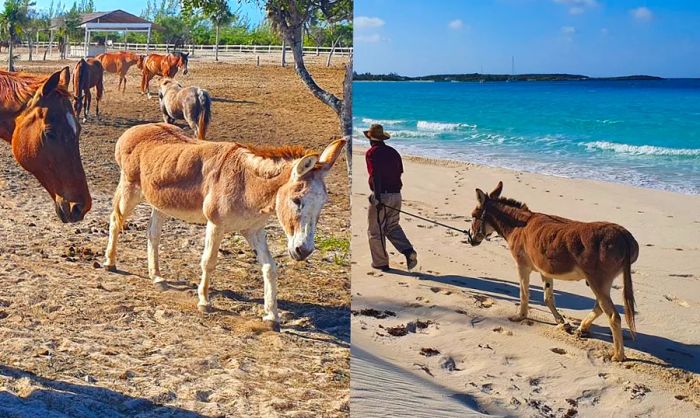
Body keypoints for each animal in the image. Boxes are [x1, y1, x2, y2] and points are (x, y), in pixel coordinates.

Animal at [104, 122, 344, 328]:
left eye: (323, 203)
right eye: (297, 200)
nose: (303, 251)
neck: (247, 183)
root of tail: (136, 128)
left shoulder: (253, 230)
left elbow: (269, 267)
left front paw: (271, 316)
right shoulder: (216, 225)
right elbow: (208, 261)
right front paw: (204, 302)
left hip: (160, 203)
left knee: (152, 234)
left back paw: (157, 278)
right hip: (130, 190)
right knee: (116, 220)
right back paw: (110, 263)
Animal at [470, 181, 640, 360]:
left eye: (473, 216)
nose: (470, 238)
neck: (519, 225)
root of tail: (622, 235)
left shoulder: (522, 266)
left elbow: (524, 294)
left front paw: (520, 316)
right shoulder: (545, 271)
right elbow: (548, 298)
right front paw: (561, 322)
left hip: (597, 280)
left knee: (612, 315)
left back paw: (618, 355)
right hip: (600, 282)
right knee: (600, 306)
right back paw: (583, 328)